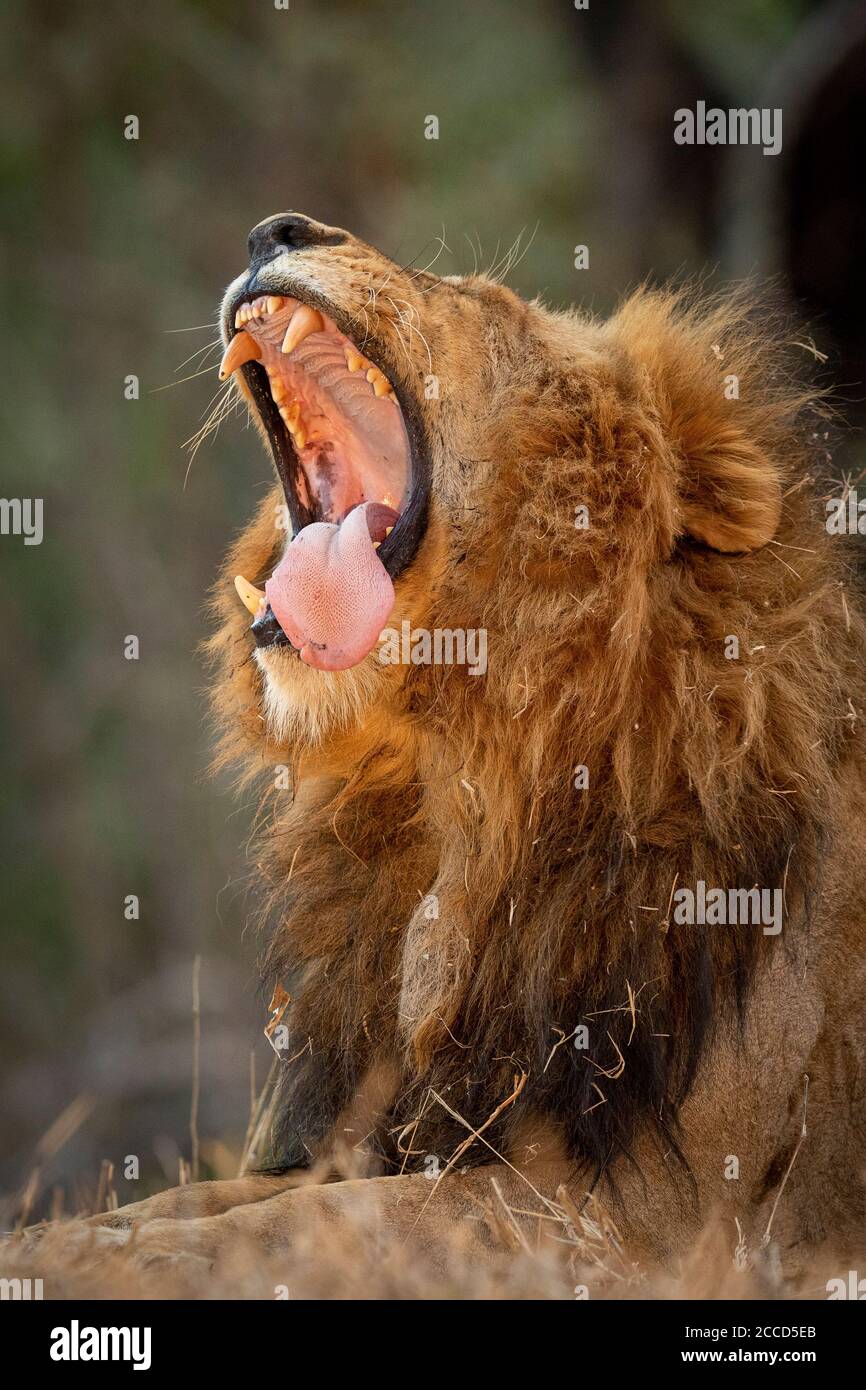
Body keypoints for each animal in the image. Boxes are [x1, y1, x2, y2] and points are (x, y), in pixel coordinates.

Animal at [42, 214, 866, 1273]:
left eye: (480, 300)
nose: (275, 230)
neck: (461, 789)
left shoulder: (659, 1210)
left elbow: (305, 1224)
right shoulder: (396, 1121)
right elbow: (212, 1199)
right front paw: (67, 1236)